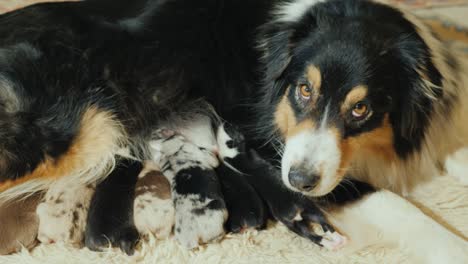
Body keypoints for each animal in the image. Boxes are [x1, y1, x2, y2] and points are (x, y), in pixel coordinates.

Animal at [0, 0, 468, 262]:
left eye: (361, 108)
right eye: (303, 89)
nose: (298, 182)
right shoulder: (274, 147)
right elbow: (399, 206)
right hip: (75, 131)